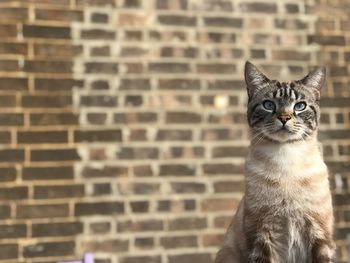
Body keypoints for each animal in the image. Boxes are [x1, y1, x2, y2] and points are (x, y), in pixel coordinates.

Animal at [215, 62, 334, 263]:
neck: (286, 159)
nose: (284, 118)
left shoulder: (320, 236)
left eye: (300, 106)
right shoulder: (262, 237)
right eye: (268, 105)